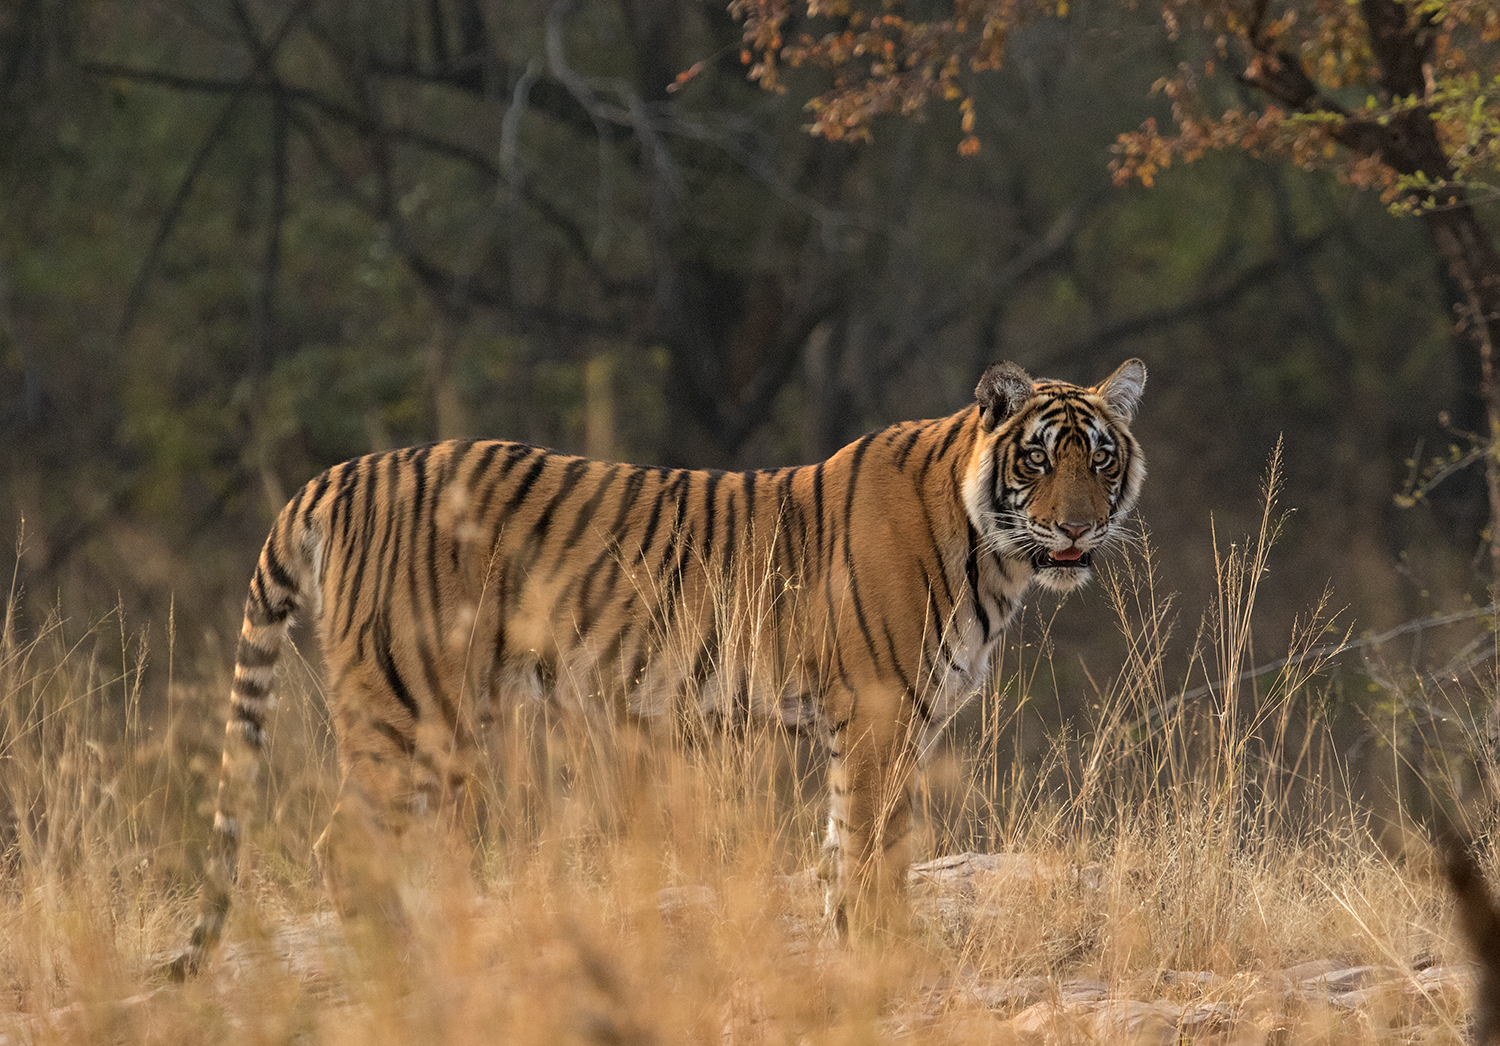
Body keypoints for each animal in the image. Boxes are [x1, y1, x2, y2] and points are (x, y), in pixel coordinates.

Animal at [168, 357, 1145, 976]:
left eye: (1101, 459)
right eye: (1037, 457)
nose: (1078, 528)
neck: (995, 555)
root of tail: (336, 474)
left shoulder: (871, 725)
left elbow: (840, 852)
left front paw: (847, 954)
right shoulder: (878, 715)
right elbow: (878, 850)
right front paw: (885, 956)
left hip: (446, 726)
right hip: (407, 706)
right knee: (345, 845)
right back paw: (399, 974)